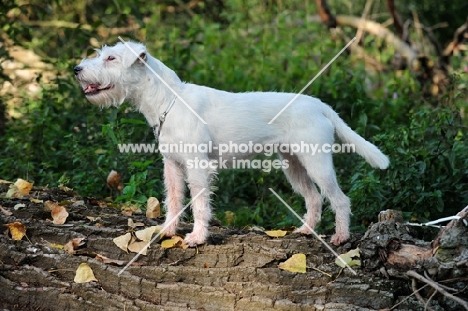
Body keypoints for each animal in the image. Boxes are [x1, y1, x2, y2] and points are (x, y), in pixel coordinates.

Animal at [74, 41, 388, 247]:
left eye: (111, 58)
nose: (77, 69)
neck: (169, 101)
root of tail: (320, 106)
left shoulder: (197, 168)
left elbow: (200, 204)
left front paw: (197, 237)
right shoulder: (172, 166)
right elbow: (173, 199)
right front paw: (168, 230)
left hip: (317, 163)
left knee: (340, 199)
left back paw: (341, 237)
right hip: (294, 166)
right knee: (313, 198)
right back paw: (305, 231)